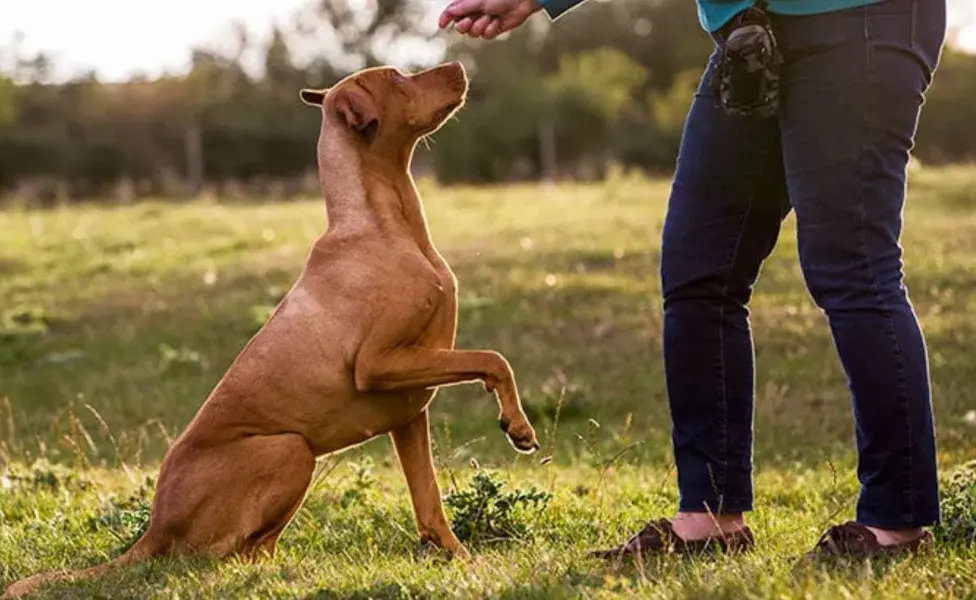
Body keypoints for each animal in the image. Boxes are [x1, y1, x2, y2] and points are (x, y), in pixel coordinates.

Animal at [3, 62, 536, 600]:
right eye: (397, 78)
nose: (460, 66)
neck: (383, 225)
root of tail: (154, 528)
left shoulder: (409, 410)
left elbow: (429, 503)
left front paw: (462, 561)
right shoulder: (378, 364)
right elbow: (494, 359)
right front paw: (517, 425)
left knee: (256, 548)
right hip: (290, 450)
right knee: (220, 557)